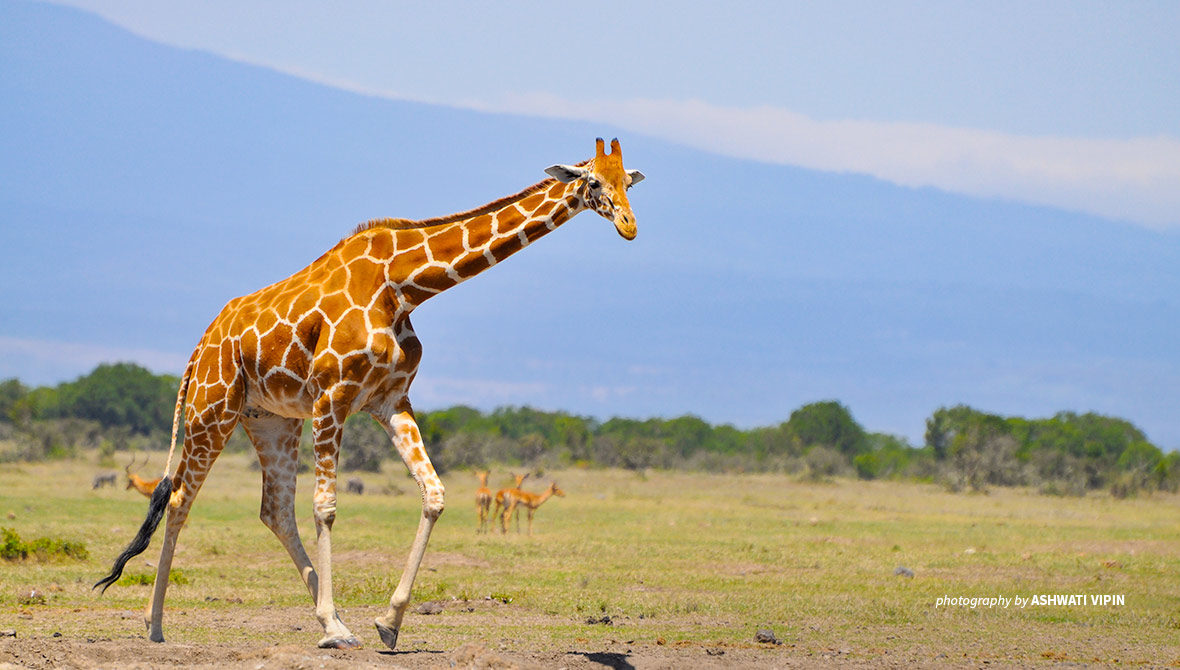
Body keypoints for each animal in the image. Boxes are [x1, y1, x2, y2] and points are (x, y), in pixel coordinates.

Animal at [92, 137, 646, 651]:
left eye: (628, 182)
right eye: (593, 182)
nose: (629, 226)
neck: (402, 286)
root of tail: (200, 345)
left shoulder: (390, 400)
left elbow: (434, 493)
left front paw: (388, 622)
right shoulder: (332, 397)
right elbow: (326, 507)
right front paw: (348, 624)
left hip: (271, 420)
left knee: (274, 509)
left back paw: (336, 623)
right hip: (213, 408)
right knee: (180, 499)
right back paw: (156, 624)